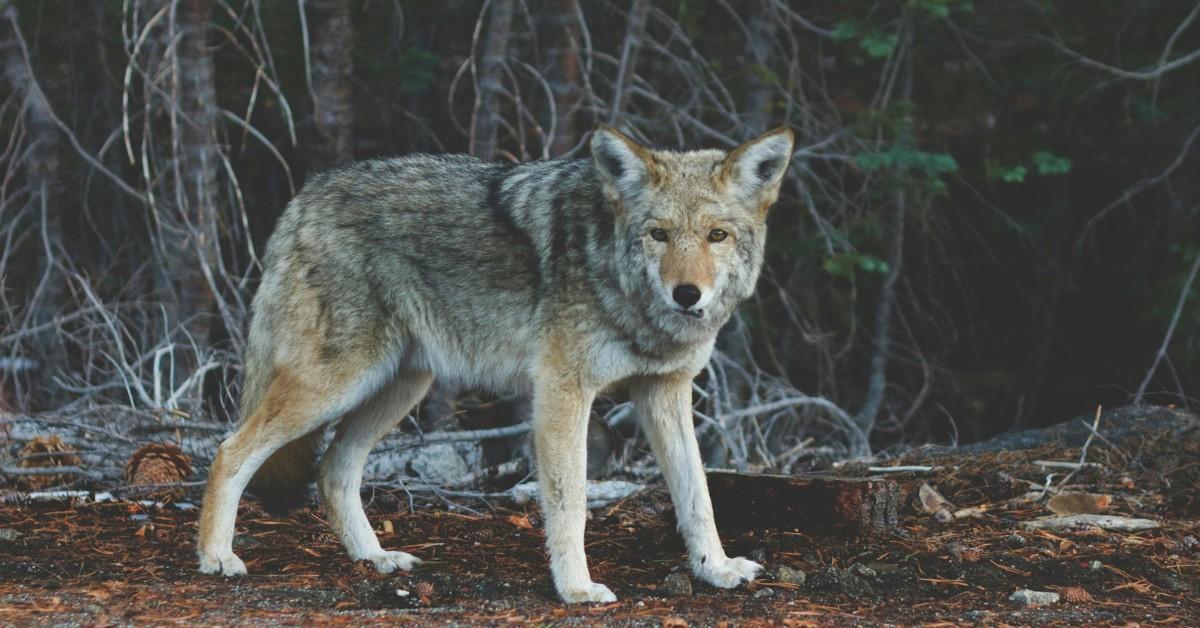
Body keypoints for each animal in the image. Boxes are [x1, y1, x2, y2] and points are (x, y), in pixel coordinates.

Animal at [196, 124, 795, 603]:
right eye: (659, 234)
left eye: (717, 235)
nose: (687, 294)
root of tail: (306, 194)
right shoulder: (562, 392)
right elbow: (571, 501)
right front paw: (577, 589)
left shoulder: (665, 391)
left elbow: (698, 495)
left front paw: (716, 569)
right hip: (337, 384)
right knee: (230, 451)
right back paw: (217, 558)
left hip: (399, 388)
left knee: (332, 469)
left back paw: (376, 559)